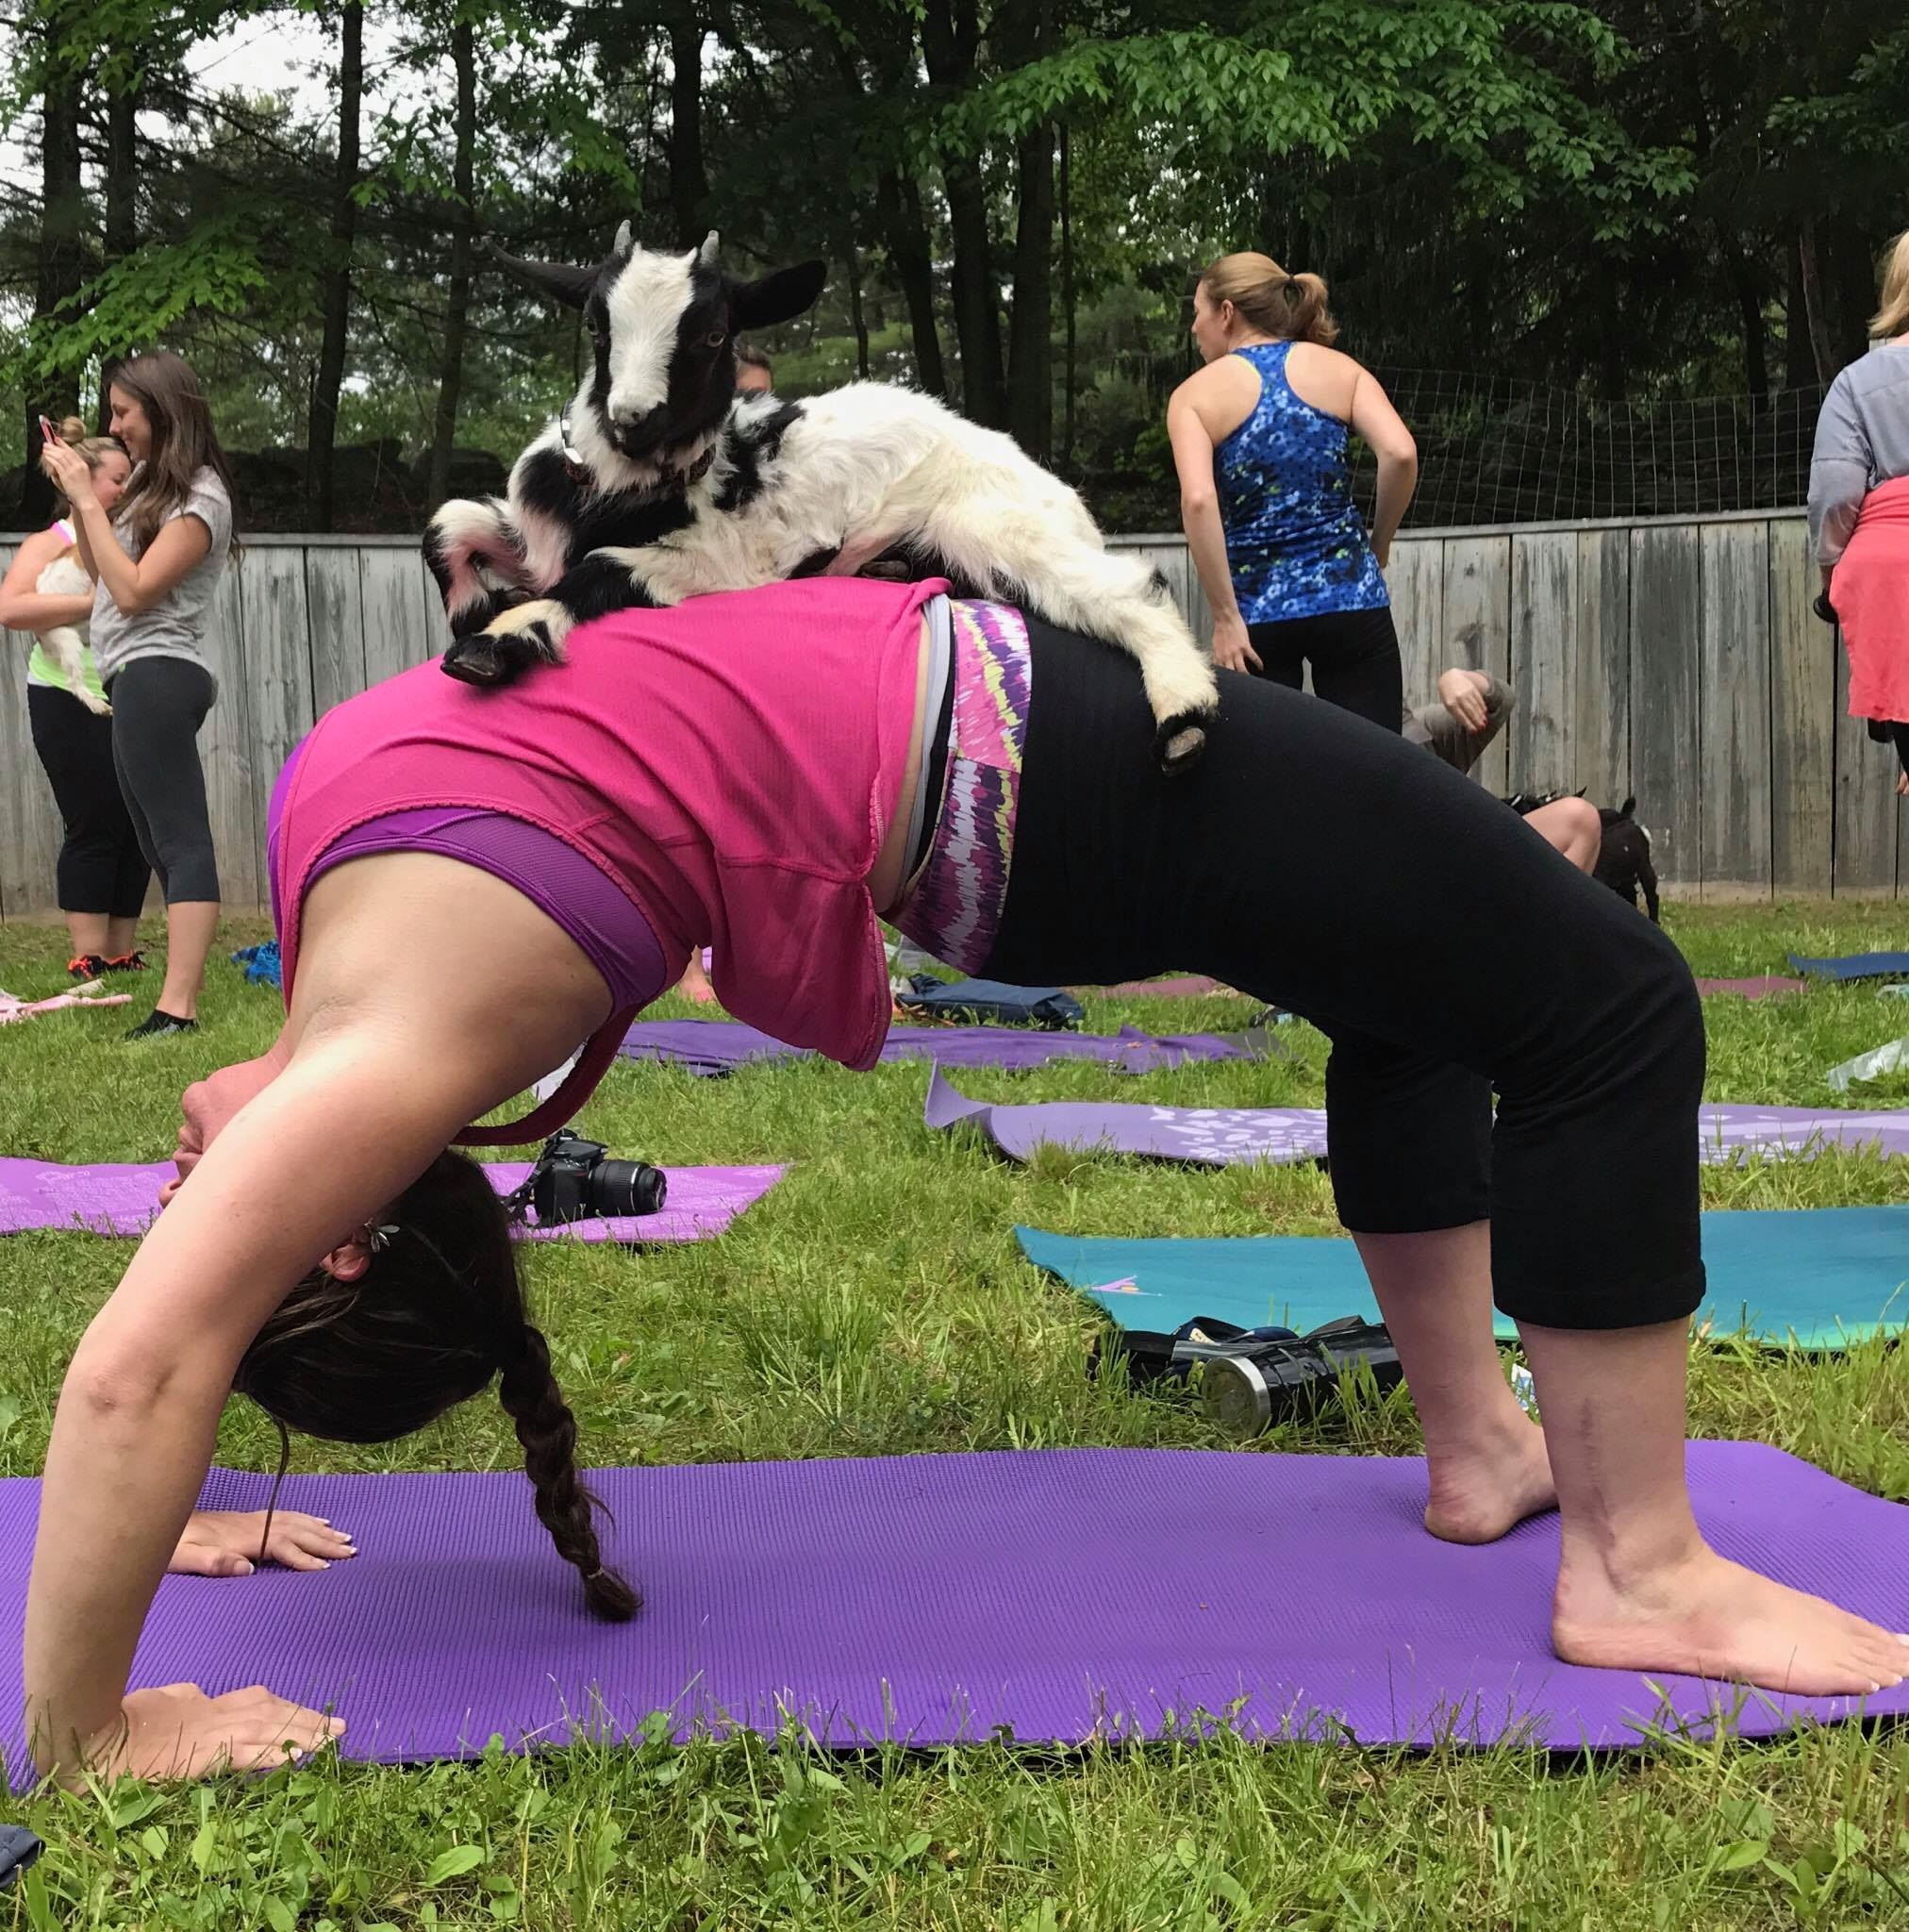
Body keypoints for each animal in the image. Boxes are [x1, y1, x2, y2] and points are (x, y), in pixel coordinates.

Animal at [424, 227, 1213, 769]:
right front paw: (477, 604)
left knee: (1130, 584)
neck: (618, 492)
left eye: (714, 335)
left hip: (994, 522)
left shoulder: (721, 561)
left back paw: (1183, 714)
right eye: (596, 326)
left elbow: (601, 570)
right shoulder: (533, 531)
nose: (633, 420)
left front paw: (498, 639)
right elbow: (449, 522)